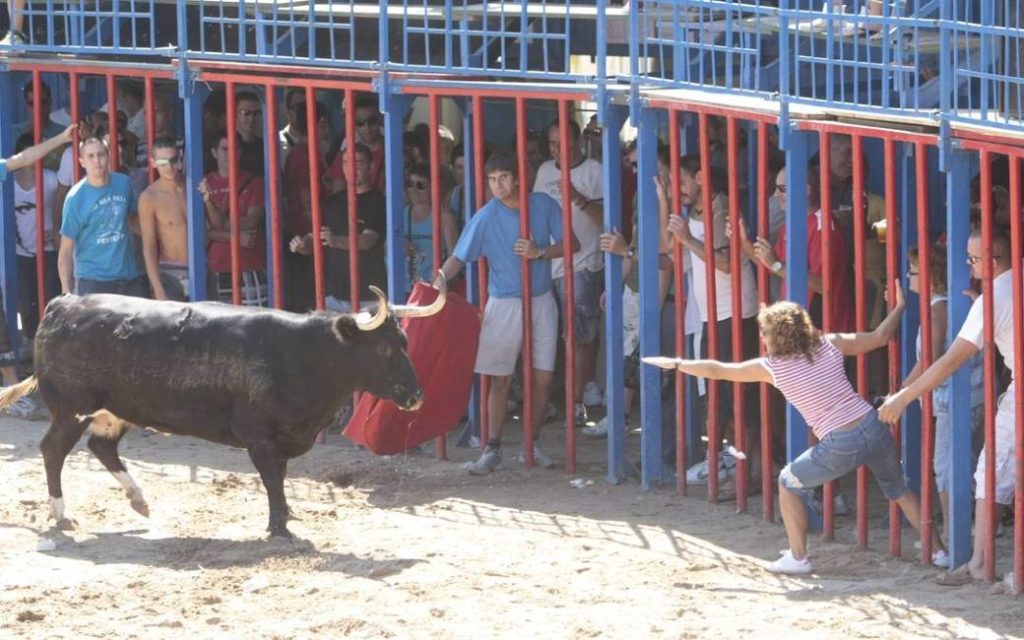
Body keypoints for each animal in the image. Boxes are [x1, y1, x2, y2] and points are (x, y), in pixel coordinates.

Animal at [1, 282, 448, 536]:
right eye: (383, 348)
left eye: (405, 342)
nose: (416, 396)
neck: (304, 354)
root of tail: (62, 304)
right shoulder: (259, 437)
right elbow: (272, 479)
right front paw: (279, 528)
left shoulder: (283, 437)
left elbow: (280, 477)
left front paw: (287, 516)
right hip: (71, 409)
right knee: (53, 451)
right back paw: (62, 515)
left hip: (115, 409)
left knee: (102, 447)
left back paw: (139, 501)